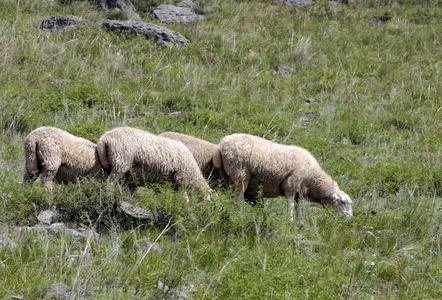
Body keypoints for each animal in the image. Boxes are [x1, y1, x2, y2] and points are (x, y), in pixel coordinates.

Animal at [212, 132, 354, 219]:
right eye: (343, 202)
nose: (349, 218)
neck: (312, 176)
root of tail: (221, 145)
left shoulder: (298, 193)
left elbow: (298, 208)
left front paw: (300, 223)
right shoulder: (291, 185)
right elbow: (290, 206)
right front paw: (290, 221)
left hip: (228, 175)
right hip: (240, 175)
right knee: (238, 198)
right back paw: (239, 213)